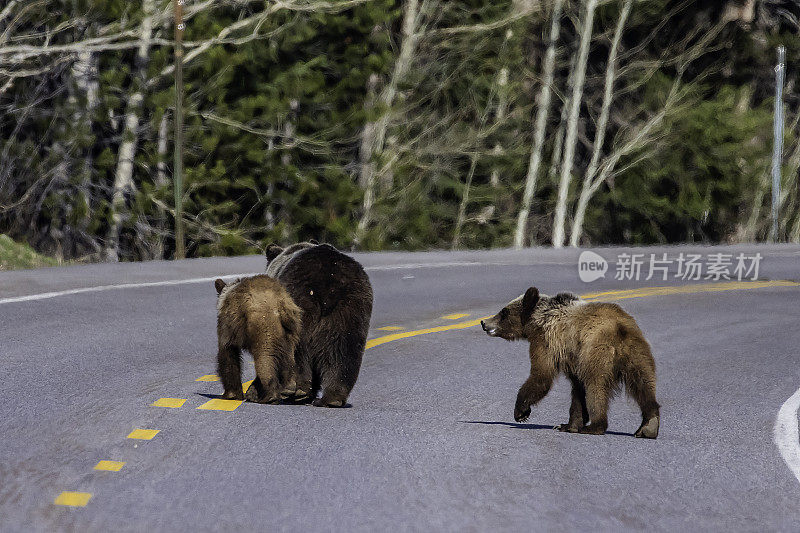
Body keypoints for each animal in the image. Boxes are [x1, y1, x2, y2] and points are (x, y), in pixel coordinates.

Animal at [266, 242, 372, 408]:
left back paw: (297, 390)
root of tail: (330, 281)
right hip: (351, 307)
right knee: (344, 351)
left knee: (298, 350)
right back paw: (332, 398)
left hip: (299, 299)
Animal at [482, 288, 656, 438]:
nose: (484, 322)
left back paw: (595, 426)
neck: (538, 321)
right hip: (637, 353)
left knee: (596, 386)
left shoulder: (548, 343)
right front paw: (568, 425)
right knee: (644, 385)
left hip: (597, 352)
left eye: (504, 312)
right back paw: (648, 425)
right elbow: (577, 390)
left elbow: (542, 376)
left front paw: (521, 411)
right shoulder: (572, 358)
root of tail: (619, 329)